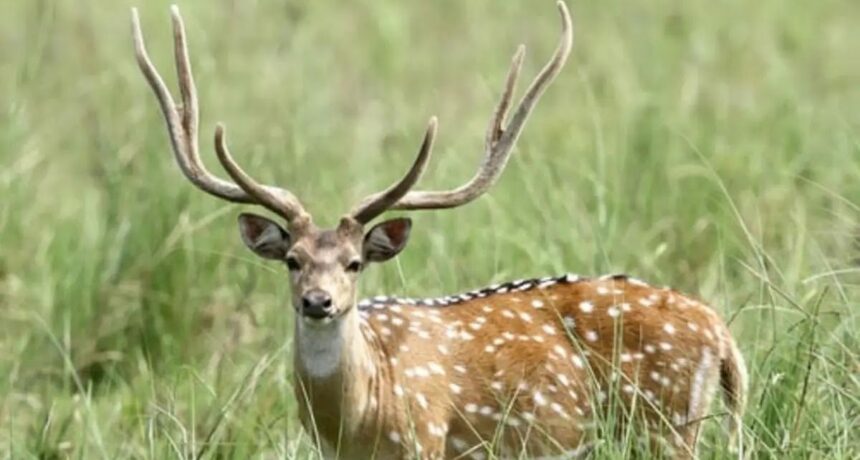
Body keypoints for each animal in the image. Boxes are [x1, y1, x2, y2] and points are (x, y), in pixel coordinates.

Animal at [131, 2, 747, 459]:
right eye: (292, 260)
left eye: (355, 262)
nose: (318, 301)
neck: (357, 420)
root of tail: (721, 333)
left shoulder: (426, 439)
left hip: (665, 422)